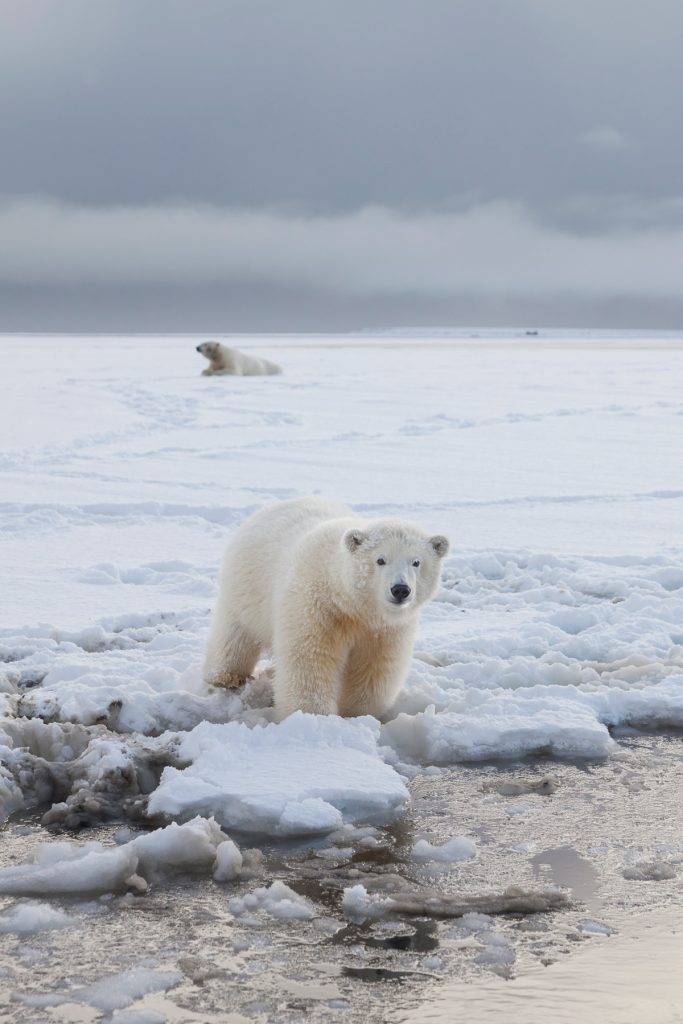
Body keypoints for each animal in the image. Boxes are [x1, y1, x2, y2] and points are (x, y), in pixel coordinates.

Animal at [202, 495, 448, 720]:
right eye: (380, 560)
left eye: (416, 562)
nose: (400, 589)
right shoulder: (317, 607)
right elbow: (310, 659)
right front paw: (312, 717)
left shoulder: (385, 629)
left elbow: (375, 667)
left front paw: (357, 715)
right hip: (248, 584)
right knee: (235, 633)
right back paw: (225, 677)